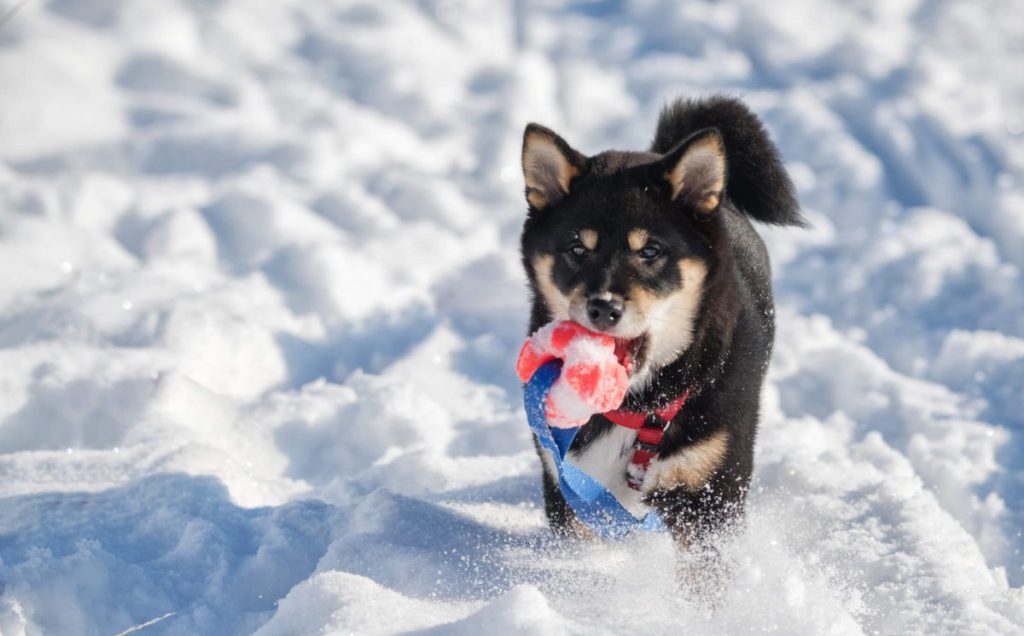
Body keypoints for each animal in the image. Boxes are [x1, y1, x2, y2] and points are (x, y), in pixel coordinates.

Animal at [520, 95, 798, 589]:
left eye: (649, 251)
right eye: (577, 248)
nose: (604, 308)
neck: (638, 407)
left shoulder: (709, 497)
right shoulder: (571, 488)